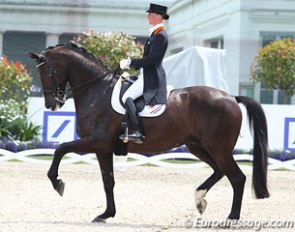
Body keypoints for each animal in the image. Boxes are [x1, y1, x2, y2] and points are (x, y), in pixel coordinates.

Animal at [28, 43, 270, 223]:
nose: (52, 104)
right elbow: (108, 181)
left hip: (218, 149)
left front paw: (57, 183)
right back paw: (200, 199)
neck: (98, 91)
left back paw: (231, 217)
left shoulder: (95, 142)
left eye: (45, 71)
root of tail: (231, 97)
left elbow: (60, 149)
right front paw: (106, 214)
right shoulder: (103, 149)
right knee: (219, 172)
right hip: (198, 146)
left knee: (237, 177)